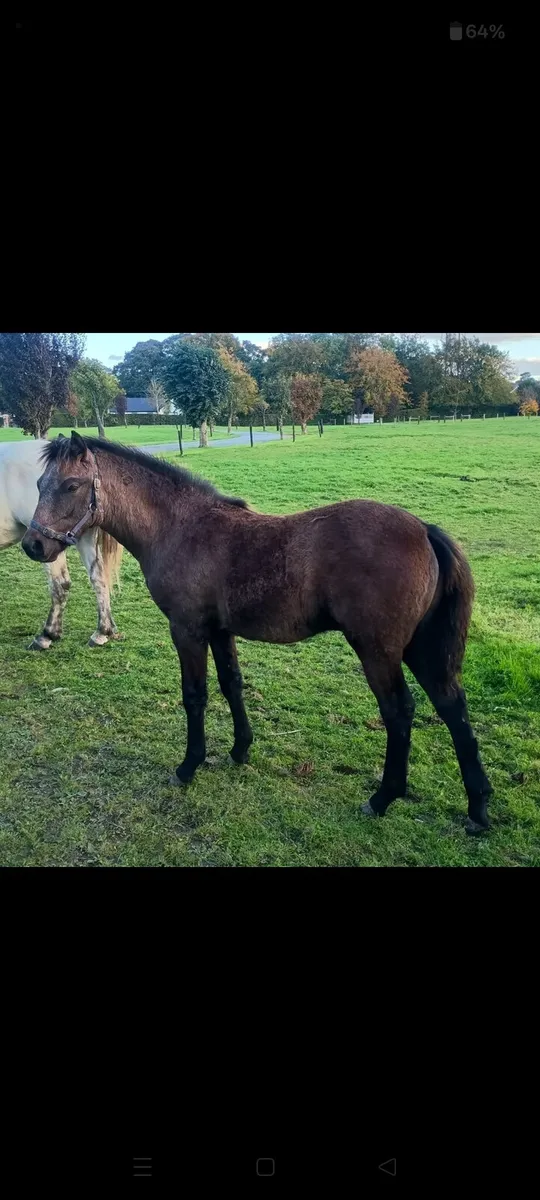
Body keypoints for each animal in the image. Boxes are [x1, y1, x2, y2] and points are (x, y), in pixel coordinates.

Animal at [0, 437, 123, 649]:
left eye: (71, 487)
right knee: (98, 577)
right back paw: (102, 631)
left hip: (49, 546)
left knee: (60, 584)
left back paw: (47, 635)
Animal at [22, 431, 493, 832]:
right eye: (40, 483)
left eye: (71, 485)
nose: (33, 545)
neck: (180, 528)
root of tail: (424, 530)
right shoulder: (219, 630)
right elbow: (232, 683)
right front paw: (240, 749)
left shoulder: (187, 630)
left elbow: (195, 696)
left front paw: (188, 766)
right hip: (419, 648)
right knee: (452, 706)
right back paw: (478, 808)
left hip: (377, 650)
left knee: (399, 711)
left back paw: (383, 798)